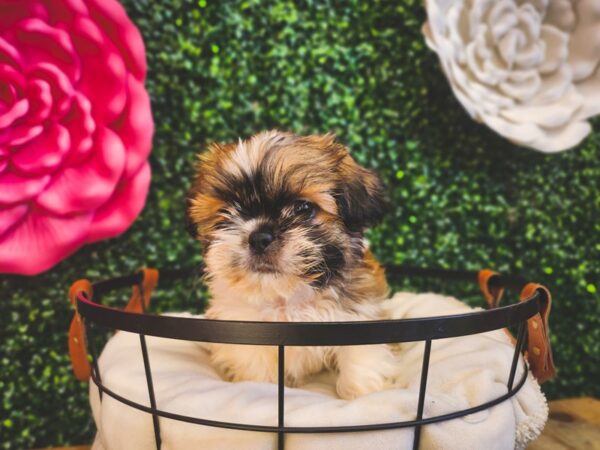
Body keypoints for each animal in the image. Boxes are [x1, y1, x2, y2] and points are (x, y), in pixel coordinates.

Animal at [186, 131, 394, 400]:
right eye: (225, 212)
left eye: (304, 208)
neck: (287, 297)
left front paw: (361, 395)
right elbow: (258, 374)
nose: (259, 237)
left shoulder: (359, 316)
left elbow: (359, 363)